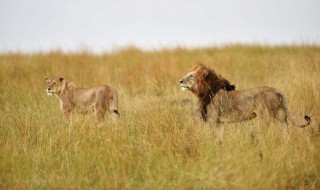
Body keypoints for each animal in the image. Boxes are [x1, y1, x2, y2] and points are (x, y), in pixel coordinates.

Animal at [181, 64, 312, 142]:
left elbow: (212, 136)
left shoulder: (213, 120)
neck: (206, 91)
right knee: (285, 132)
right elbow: (220, 137)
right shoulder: (219, 122)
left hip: (264, 116)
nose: (180, 81)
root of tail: (277, 90)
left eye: (191, 76)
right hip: (279, 115)